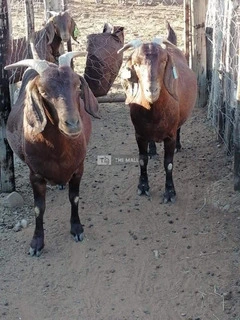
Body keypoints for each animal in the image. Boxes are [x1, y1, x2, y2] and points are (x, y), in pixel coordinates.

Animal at [4, 52, 100, 258]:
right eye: (44, 92)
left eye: (78, 86)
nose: (72, 124)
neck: (58, 152)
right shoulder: (35, 175)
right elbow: (38, 209)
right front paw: (36, 243)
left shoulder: (78, 168)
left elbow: (74, 198)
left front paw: (77, 229)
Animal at [118, 33, 197, 202]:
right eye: (136, 63)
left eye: (163, 61)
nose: (152, 89)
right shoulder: (139, 134)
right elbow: (142, 160)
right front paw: (142, 187)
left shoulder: (170, 136)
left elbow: (168, 164)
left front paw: (169, 193)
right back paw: (153, 150)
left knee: (179, 128)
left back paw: (178, 146)